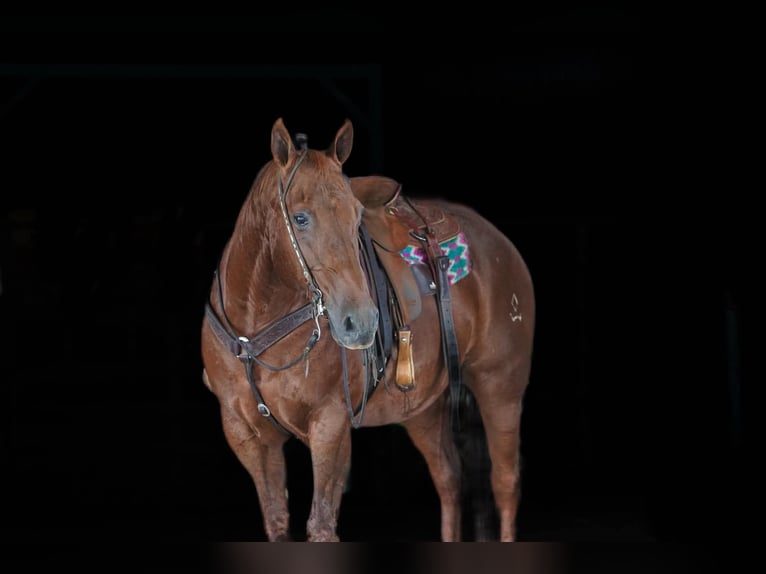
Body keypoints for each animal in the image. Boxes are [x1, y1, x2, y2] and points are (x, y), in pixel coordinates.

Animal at [200, 117, 535, 541]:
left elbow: (321, 524)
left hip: (501, 387)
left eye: (356, 217)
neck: (256, 328)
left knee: (505, 483)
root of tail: (499, 241)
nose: (360, 322)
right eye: (300, 218)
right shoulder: (246, 434)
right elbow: (277, 522)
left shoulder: (330, 424)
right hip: (423, 409)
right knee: (449, 480)